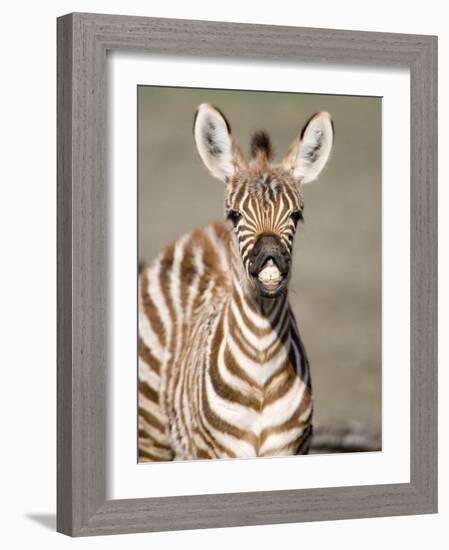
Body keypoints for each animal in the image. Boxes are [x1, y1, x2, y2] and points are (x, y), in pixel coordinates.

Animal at [139, 103, 332, 462]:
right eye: (235, 215)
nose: (270, 260)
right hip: (150, 433)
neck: (261, 366)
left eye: (296, 215)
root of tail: (201, 233)